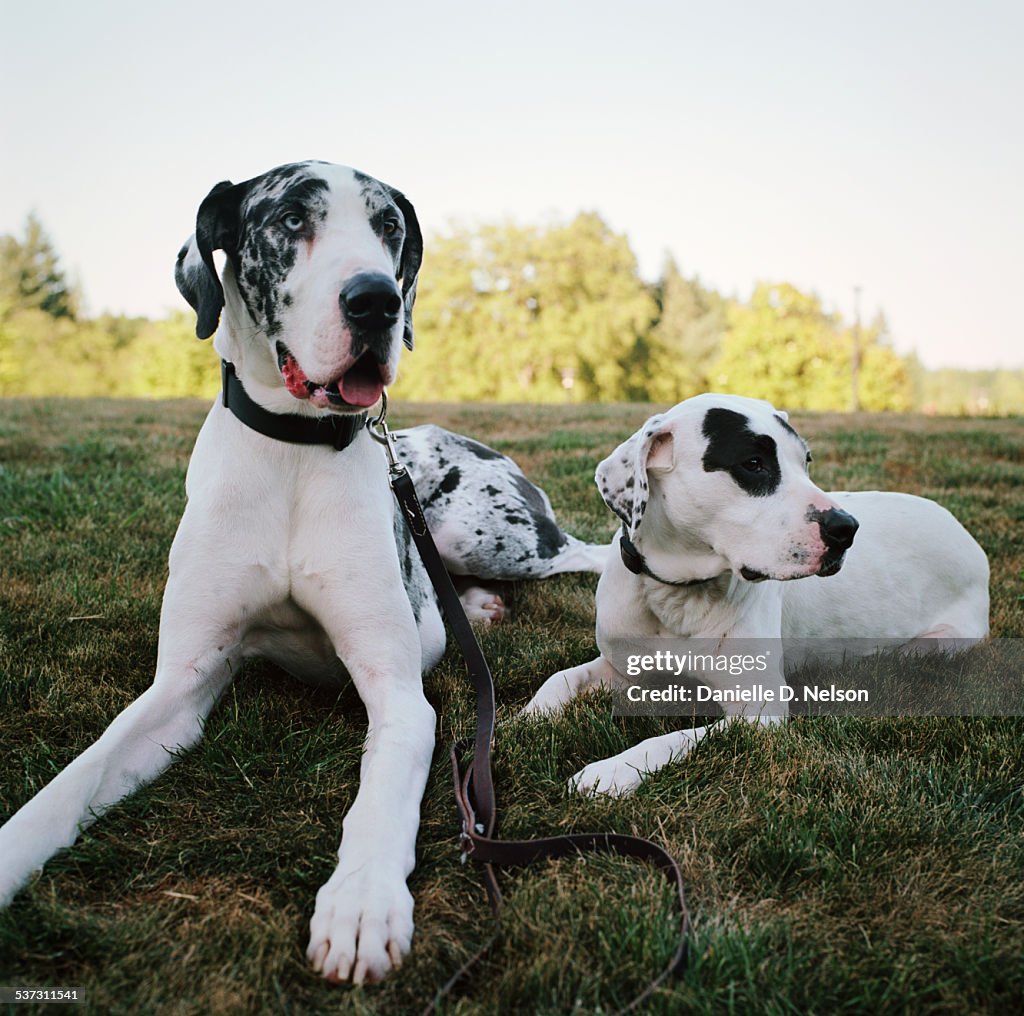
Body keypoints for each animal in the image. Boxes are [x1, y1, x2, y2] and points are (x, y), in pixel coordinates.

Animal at [524, 393, 987, 798]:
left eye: (806, 462)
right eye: (753, 464)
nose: (846, 529)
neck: (676, 594)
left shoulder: (757, 712)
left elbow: (673, 738)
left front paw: (612, 770)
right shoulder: (621, 669)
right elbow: (559, 679)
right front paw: (523, 721)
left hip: (941, 642)